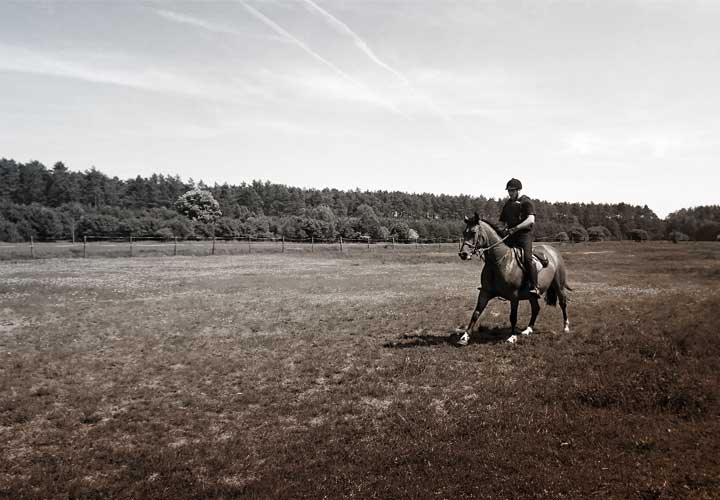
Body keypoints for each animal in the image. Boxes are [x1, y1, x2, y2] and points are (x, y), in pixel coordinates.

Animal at [458, 213, 572, 346]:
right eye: (464, 232)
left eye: (474, 232)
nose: (463, 254)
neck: (500, 261)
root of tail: (552, 250)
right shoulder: (485, 293)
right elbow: (476, 313)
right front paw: (464, 337)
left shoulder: (514, 296)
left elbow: (513, 316)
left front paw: (512, 337)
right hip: (532, 294)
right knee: (536, 308)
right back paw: (528, 329)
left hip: (559, 286)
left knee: (563, 303)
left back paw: (566, 327)